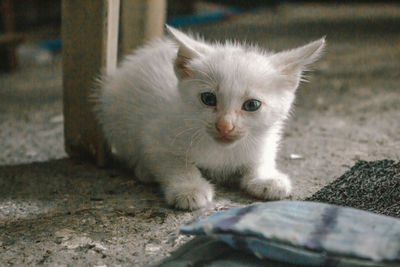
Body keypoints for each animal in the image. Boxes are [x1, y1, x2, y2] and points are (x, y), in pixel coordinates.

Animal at [94, 25, 324, 211]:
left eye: (252, 105)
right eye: (208, 99)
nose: (224, 126)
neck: (221, 152)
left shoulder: (264, 138)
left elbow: (260, 158)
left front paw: (267, 178)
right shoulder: (156, 137)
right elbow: (175, 162)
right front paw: (189, 189)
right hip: (114, 112)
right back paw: (144, 170)